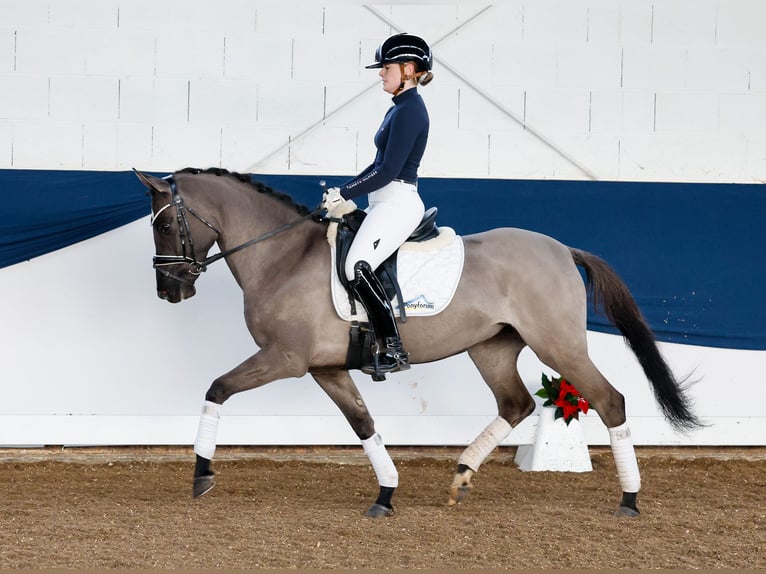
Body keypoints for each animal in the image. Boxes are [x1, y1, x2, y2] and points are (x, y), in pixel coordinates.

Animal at [134, 168, 704, 520]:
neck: (282, 256)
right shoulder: (326, 368)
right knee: (515, 404)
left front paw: (201, 474)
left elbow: (216, 389)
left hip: (557, 345)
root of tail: (563, 249)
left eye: (163, 225)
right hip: (492, 347)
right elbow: (363, 424)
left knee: (610, 401)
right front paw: (386, 494)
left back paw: (629, 500)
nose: (169, 290)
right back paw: (461, 477)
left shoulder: (285, 359)